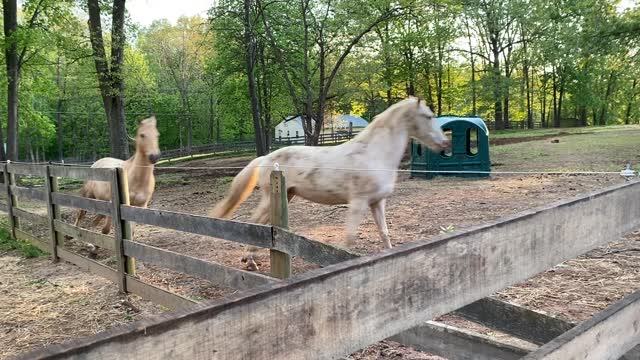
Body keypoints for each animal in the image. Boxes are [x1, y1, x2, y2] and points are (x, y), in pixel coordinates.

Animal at [68, 116, 160, 256]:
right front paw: (94, 249)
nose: (154, 156)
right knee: (81, 214)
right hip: (88, 197)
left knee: (94, 221)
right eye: (142, 135)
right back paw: (72, 235)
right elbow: (105, 230)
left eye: (157, 135)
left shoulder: (139, 207)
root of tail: (95, 163)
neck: (136, 178)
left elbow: (131, 232)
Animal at [212, 96, 448, 270]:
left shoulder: (377, 202)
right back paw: (249, 261)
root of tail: (265, 158)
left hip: (286, 196)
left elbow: (384, 234)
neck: (374, 154)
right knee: (254, 222)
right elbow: (350, 238)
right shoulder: (358, 202)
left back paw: (250, 259)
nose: (444, 144)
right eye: (428, 116)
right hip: (270, 198)